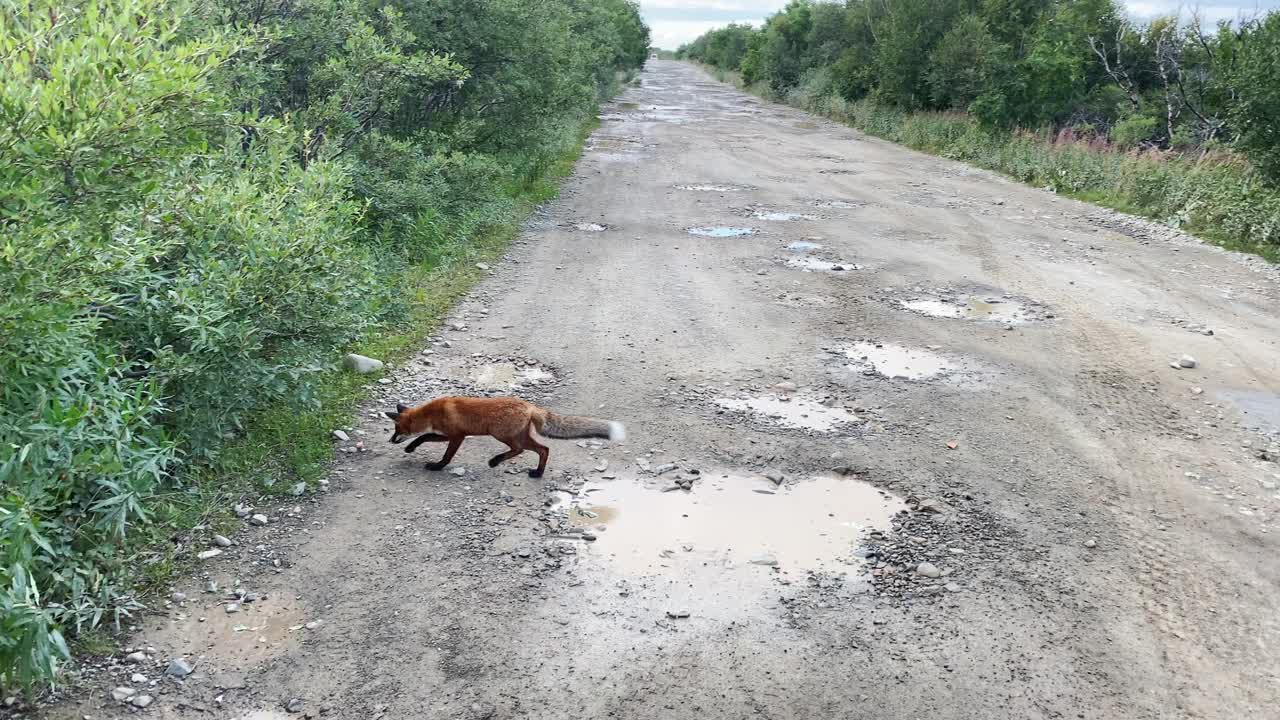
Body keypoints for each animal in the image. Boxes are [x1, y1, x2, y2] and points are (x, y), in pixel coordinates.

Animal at [384, 392, 624, 476]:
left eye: (397, 430)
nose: (390, 440)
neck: (433, 413)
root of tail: (529, 406)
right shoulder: (448, 434)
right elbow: (423, 437)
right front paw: (411, 447)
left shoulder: (456, 436)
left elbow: (443, 452)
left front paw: (437, 466)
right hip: (518, 436)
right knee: (544, 449)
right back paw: (537, 472)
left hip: (502, 435)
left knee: (521, 450)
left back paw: (496, 461)